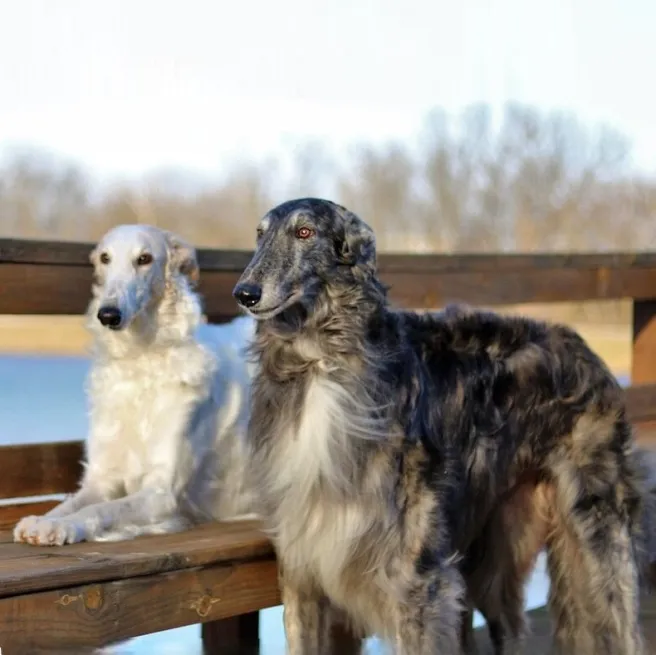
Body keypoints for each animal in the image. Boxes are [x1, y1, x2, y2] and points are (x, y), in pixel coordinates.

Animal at [14, 224, 256, 546]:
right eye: (105, 258)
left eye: (144, 258)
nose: (108, 315)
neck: (140, 359)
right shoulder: (101, 477)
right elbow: (70, 504)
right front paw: (42, 521)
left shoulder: (162, 492)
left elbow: (100, 510)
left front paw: (64, 527)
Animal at [233, 197, 651, 655]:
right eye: (259, 234)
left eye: (304, 232)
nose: (244, 293)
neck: (322, 362)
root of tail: (585, 351)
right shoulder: (304, 570)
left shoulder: (419, 581)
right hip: (496, 554)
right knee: (510, 626)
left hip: (600, 539)